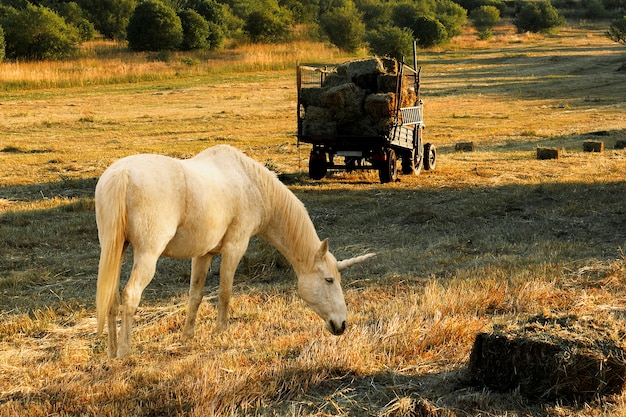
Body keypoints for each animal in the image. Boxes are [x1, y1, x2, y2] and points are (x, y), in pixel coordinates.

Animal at [95, 145, 372, 356]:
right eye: (329, 280)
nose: (342, 324)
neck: (251, 183)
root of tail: (122, 174)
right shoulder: (235, 247)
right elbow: (225, 292)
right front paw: (221, 332)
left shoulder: (203, 254)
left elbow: (195, 295)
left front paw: (188, 336)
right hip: (147, 256)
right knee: (130, 294)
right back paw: (124, 351)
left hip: (114, 251)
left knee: (111, 297)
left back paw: (111, 350)